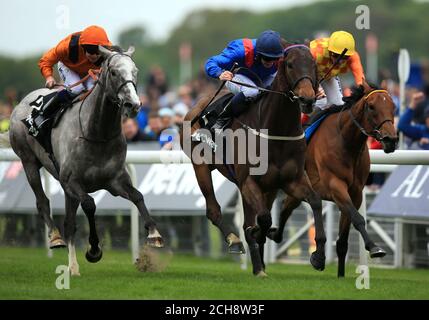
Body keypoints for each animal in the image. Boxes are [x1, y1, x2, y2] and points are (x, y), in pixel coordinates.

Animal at [3, 46, 163, 276]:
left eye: (136, 71)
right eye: (113, 72)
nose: (133, 104)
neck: (96, 132)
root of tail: (21, 103)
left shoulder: (115, 181)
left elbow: (138, 196)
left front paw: (154, 234)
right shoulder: (72, 181)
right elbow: (89, 204)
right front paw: (94, 250)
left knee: (69, 222)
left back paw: (72, 266)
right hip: (28, 161)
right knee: (43, 202)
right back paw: (56, 239)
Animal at [181, 43, 324, 278]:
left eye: (313, 65)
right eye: (290, 64)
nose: (308, 99)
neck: (276, 131)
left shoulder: (292, 180)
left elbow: (315, 201)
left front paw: (318, 256)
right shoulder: (248, 181)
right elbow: (263, 219)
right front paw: (254, 233)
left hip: (268, 188)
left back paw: (259, 265)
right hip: (201, 166)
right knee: (214, 210)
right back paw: (236, 242)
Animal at [270, 82, 396, 278]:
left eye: (393, 107)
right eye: (371, 106)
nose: (391, 140)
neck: (347, 142)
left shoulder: (355, 192)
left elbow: (343, 239)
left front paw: (341, 275)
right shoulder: (335, 186)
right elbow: (358, 218)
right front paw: (374, 247)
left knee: (287, 208)